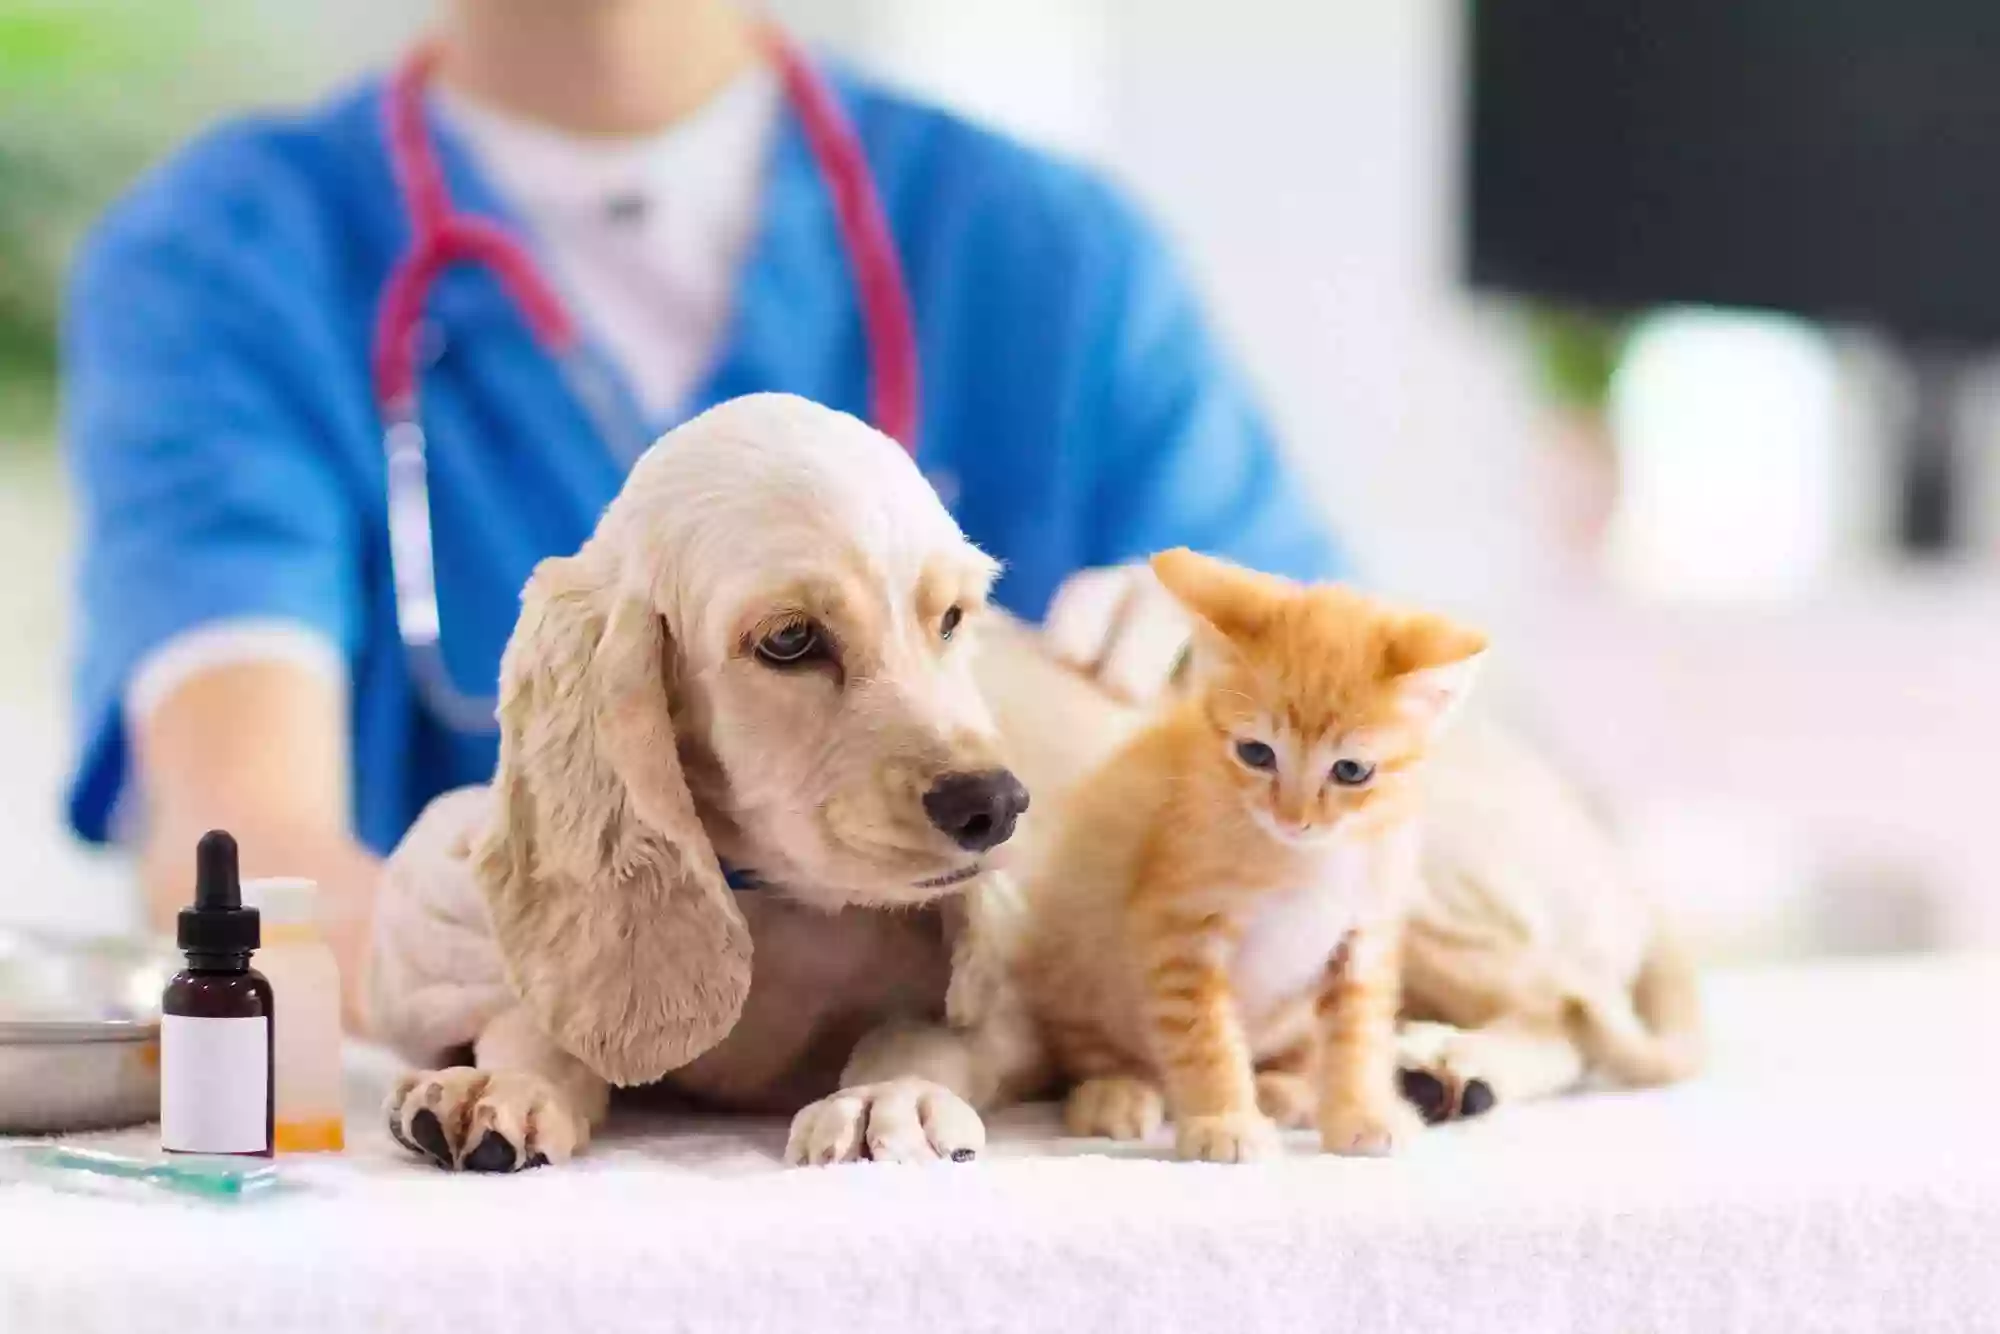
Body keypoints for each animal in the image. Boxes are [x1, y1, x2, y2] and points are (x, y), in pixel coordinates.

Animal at [1016, 548, 1488, 1160]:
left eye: (1351, 771)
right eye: (1257, 753)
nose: (1293, 818)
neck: (1307, 862)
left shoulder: (1365, 935)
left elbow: (1359, 1033)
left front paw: (1361, 1110)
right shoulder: (1178, 930)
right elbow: (1204, 1035)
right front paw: (1225, 1121)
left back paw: (1287, 1087)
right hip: (1074, 944)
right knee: (1087, 1043)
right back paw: (1114, 1091)